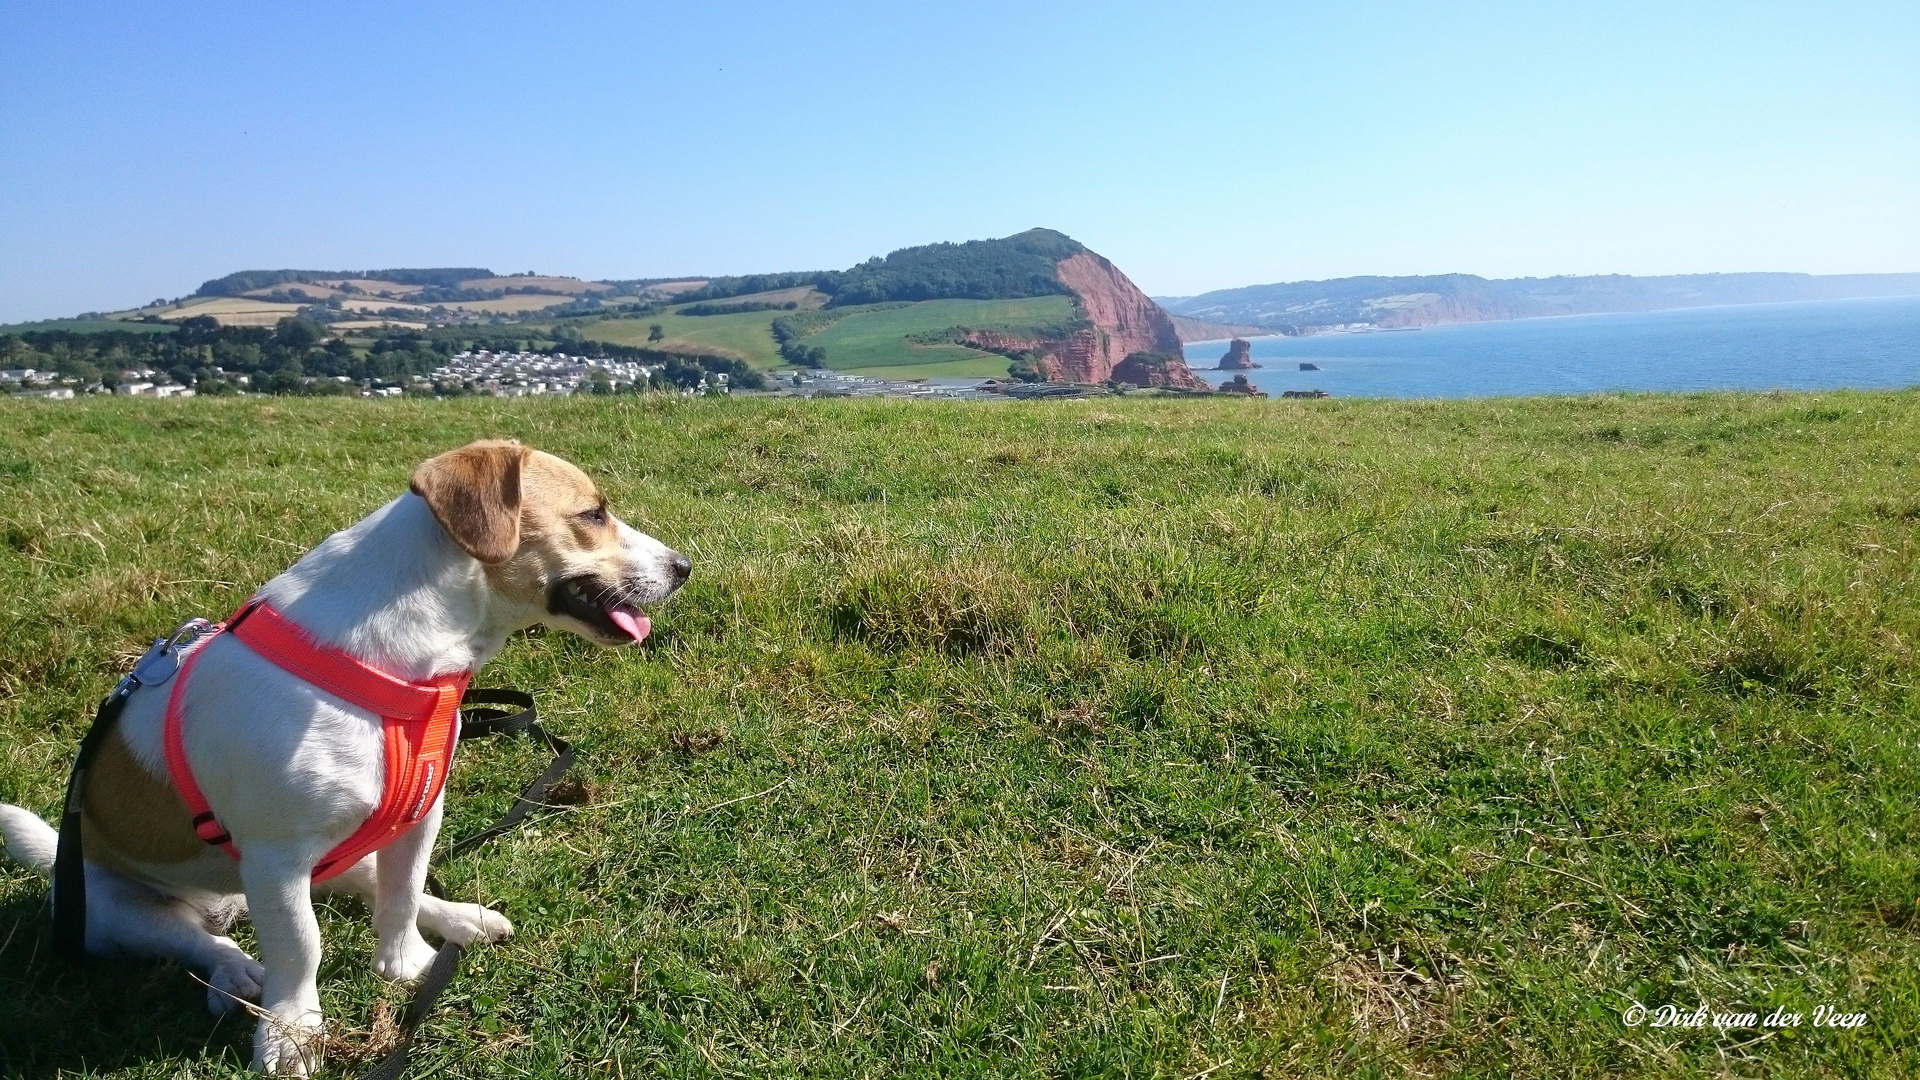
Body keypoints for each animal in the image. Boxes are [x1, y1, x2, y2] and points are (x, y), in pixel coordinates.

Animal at [0, 438, 691, 1068]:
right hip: (114, 911)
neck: (399, 658)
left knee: (371, 884)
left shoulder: (418, 815)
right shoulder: (277, 859)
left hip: (340, 854)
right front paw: (292, 1032)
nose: (685, 566)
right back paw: (238, 974)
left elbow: (402, 893)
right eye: (593, 513)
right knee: (201, 943)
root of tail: (226, 904)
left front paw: (406, 965)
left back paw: (459, 919)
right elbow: (300, 946)